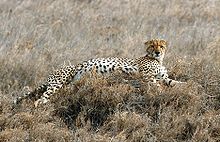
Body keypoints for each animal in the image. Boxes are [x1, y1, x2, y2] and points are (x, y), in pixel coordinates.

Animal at [13, 38, 185, 107]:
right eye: (152, 45)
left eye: (161, 46)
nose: (157, 52)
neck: (158, 60)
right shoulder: (147, 76)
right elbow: (157, 86)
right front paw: (162, 93)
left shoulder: (163, 77)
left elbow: (174, 82)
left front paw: (186, 85)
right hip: (59, 81)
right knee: (42, 97)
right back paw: (41, 104)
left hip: (67, 83)